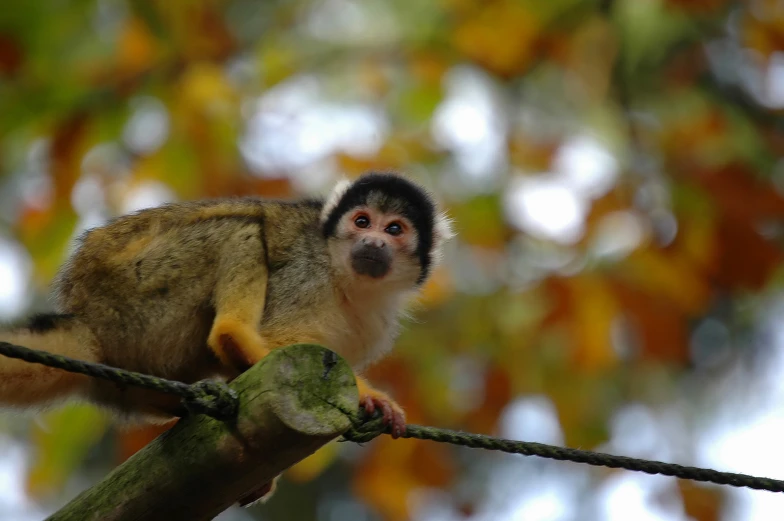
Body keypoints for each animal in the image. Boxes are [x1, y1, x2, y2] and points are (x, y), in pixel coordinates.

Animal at [0, 173, 454, 502]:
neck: (347, 277)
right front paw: (368, 395)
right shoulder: (308, 272)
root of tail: (89, 320)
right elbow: (283, 334)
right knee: (241, 229)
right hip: (138, 292)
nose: (373, 241)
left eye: (394, 229)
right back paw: (235, 339)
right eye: (361, 221)